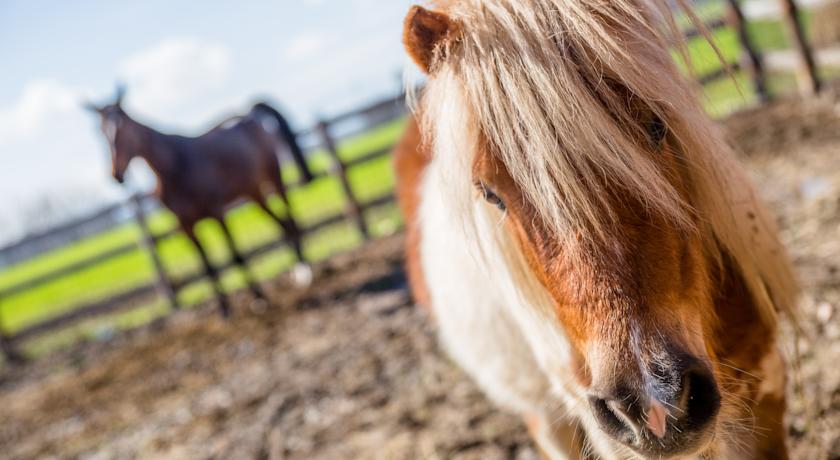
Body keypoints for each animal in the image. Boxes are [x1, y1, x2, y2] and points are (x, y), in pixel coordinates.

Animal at [87, 87, 314, 316]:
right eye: (101, 131)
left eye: (121, 127)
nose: (117, 175)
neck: (175, 167)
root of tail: (248, 115)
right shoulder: (185, 226)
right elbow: (208, 267)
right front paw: (224, 308)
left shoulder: (217, 213)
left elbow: (236, 257)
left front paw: (259, 298)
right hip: (254, 193)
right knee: (282, 224)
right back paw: (297, 268)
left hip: (274, 179)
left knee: (290, 220)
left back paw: (305, 270)